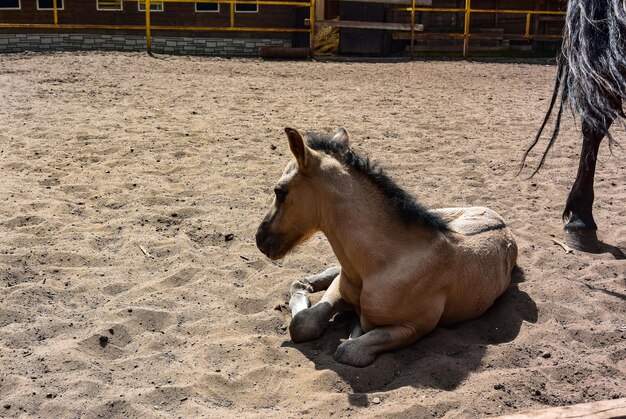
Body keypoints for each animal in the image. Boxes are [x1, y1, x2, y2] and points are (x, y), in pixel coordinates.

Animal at [255, 128, 516, 368]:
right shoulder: (341, 286)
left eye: (280, 191)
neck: (386, 263)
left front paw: (353, 327)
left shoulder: (413, 327)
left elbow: (349, 351)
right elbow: (303, 324)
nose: (259, 238)